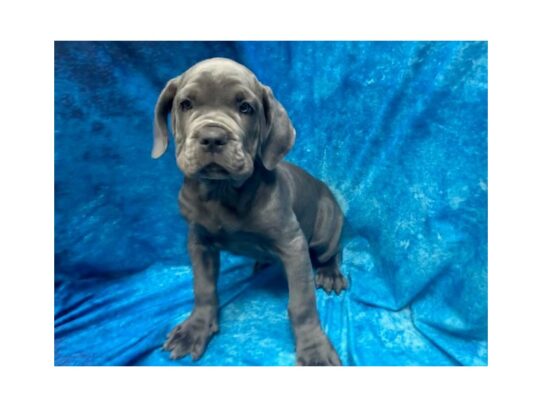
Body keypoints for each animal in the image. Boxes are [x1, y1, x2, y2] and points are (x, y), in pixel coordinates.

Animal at [153, 57, 348, 366]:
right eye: (186, 104)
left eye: (246, 108)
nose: (212, 137)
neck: (223, 192)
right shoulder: (199, 242)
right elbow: (203, 289)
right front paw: (195, 329)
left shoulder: (293, 244)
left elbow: (302, 302)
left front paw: (314, 349)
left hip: (326, 228)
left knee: (333, 250)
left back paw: (330, 273)